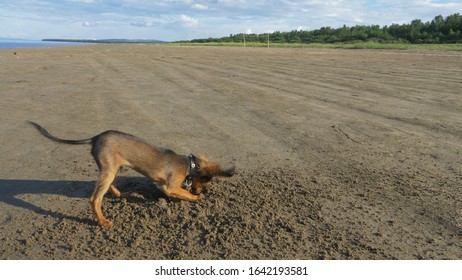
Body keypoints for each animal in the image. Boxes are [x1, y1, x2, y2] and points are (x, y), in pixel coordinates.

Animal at [29, 121, 235, 229]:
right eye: (205, 181)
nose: (203, 191)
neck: (188, 164)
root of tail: (96, 138)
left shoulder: (163, 185)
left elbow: (176, 193)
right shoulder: (170, 186)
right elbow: (184, 193)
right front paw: (197, 197)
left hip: (112, 168)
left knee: (108, 185)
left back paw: (120, 194)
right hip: (109, 170)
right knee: (95, 199)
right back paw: (103, 222)